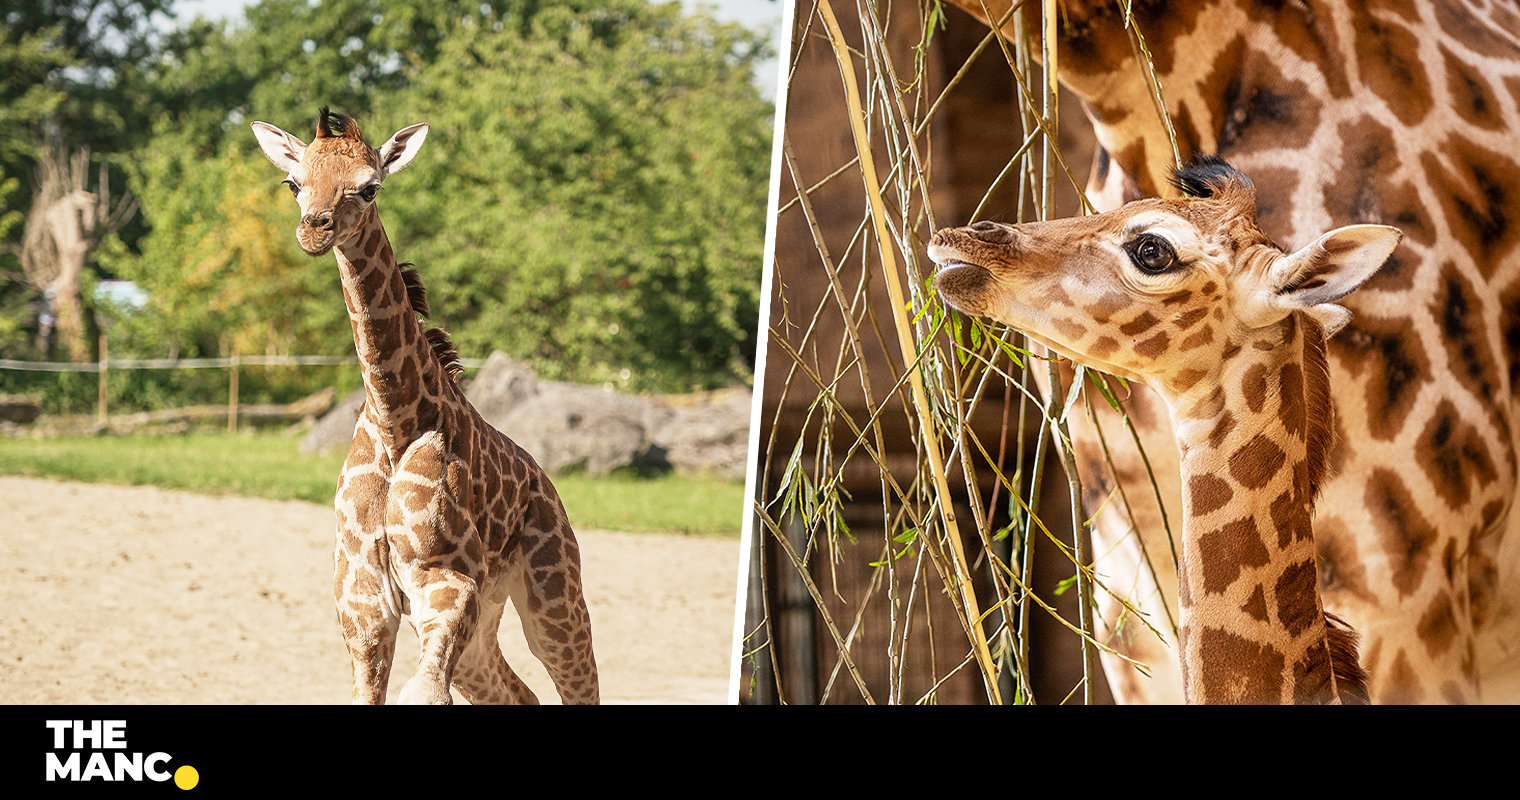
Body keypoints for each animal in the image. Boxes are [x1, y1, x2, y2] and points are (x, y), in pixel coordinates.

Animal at [251, 108, 599, 704]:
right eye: (293, 183)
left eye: (369, 187)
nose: (314, 228)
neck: (396, 420)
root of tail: (547, 483)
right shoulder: (363, 602)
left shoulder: (446, 578)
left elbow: (423, 692)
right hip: (483, 620)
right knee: (519, 693)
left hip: (554, 599)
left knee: (578, 683)